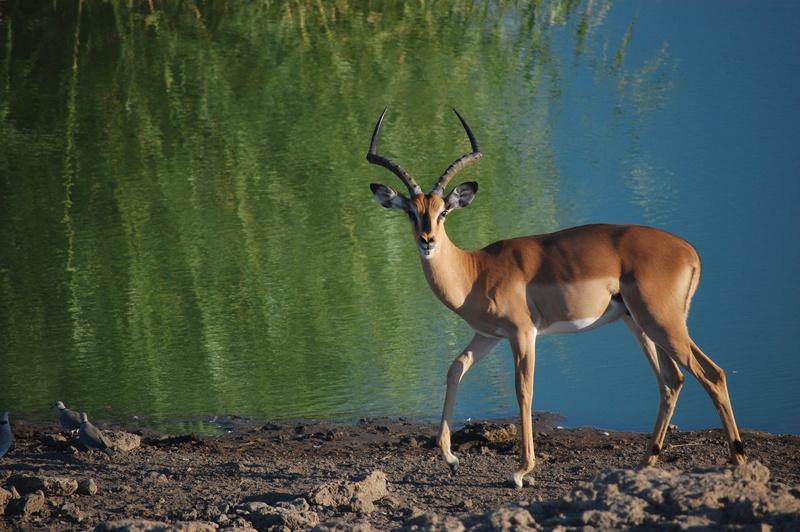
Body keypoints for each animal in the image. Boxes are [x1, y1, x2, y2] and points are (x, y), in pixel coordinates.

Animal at [366, 107, 746, 488]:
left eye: (443, 211)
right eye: (411, 211)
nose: (427, 240)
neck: (475, 270)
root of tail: (690, 252)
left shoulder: (522, 333)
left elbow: (524, 390)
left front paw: (521, 471)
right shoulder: (488, 335)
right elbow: (454, 369)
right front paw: (450, 458)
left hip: (661, 322)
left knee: (712, 374)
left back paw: (738, 460)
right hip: (642, 324)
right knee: (672, 381)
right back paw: (644, 464)